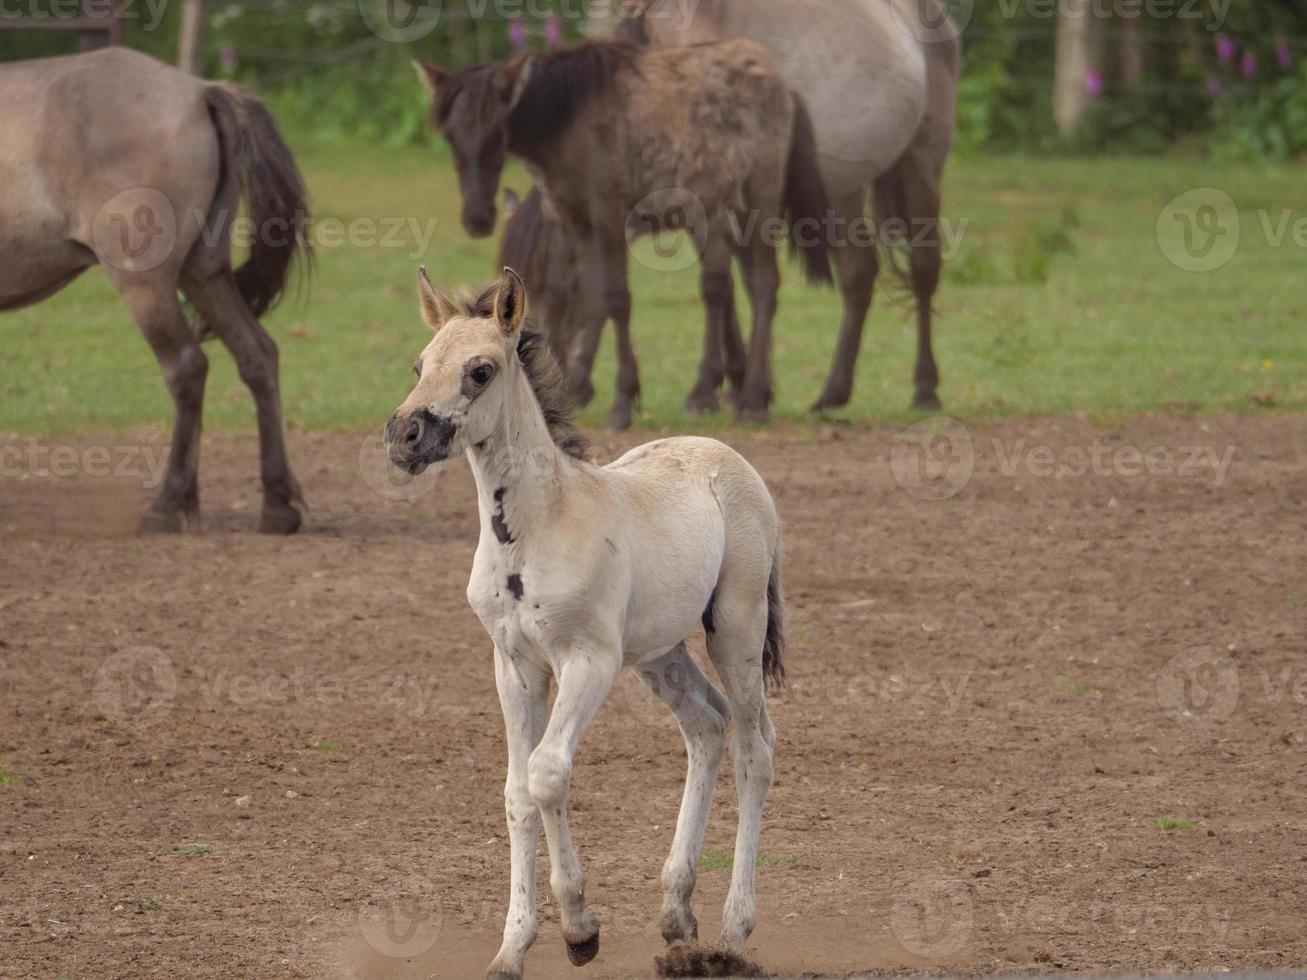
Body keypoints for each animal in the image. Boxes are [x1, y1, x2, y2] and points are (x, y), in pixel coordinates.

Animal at [1, 46, 309, 533]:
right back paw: (278, 504)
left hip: (146, 284)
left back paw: (170, 503)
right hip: (203, 275)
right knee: (257, 356)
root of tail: (201, 91)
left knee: (187, 367)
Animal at [381, 269, 778, 980]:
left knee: (755, 747)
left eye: (480, 370)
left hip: (736, 626)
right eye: (420, 365)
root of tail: (724, 455)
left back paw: (733, 933)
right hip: (658, 651)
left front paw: (579, 929)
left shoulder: (587, 661)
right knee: (706, 724)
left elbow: (548, 773)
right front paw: (511, 948)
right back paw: (677, 913)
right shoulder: (513, 666)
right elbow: (516, 791)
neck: (536, 528)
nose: (403, 437)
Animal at [595, 0, 961, 410]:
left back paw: (925, 389)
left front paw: (723, 388)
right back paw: (833, 391)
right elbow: (737, 285)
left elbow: (734, 283)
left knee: (923, 269)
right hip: (843, 190)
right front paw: (748, 383)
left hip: (922, 164)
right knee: (859, 274)